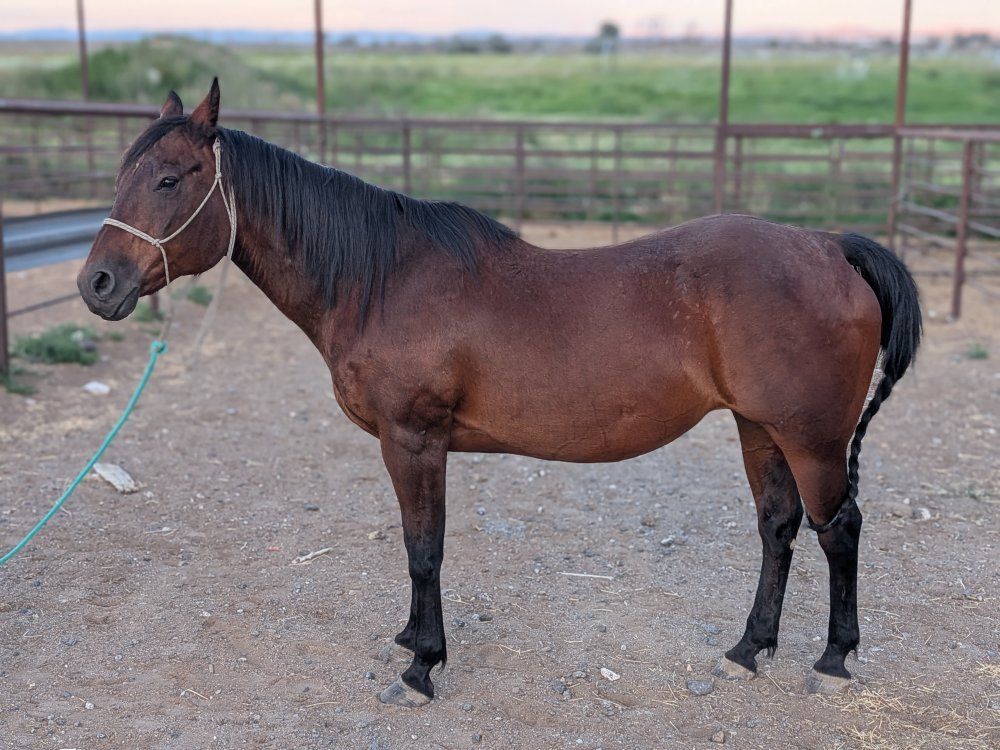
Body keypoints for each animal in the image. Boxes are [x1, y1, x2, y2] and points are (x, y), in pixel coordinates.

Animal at [78, 80, 921, 707]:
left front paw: (423, 664)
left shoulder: (414, 440)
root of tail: (829, 247)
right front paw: (413, 641)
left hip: (810, 437)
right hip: (759, 427)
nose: (98, 284)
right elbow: (417, 548)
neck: (379, 278)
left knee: (839, 529)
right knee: (778, 528)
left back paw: (834, 659)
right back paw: (749, 648)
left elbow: (425, 550)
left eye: (170, 178)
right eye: (120, 175)